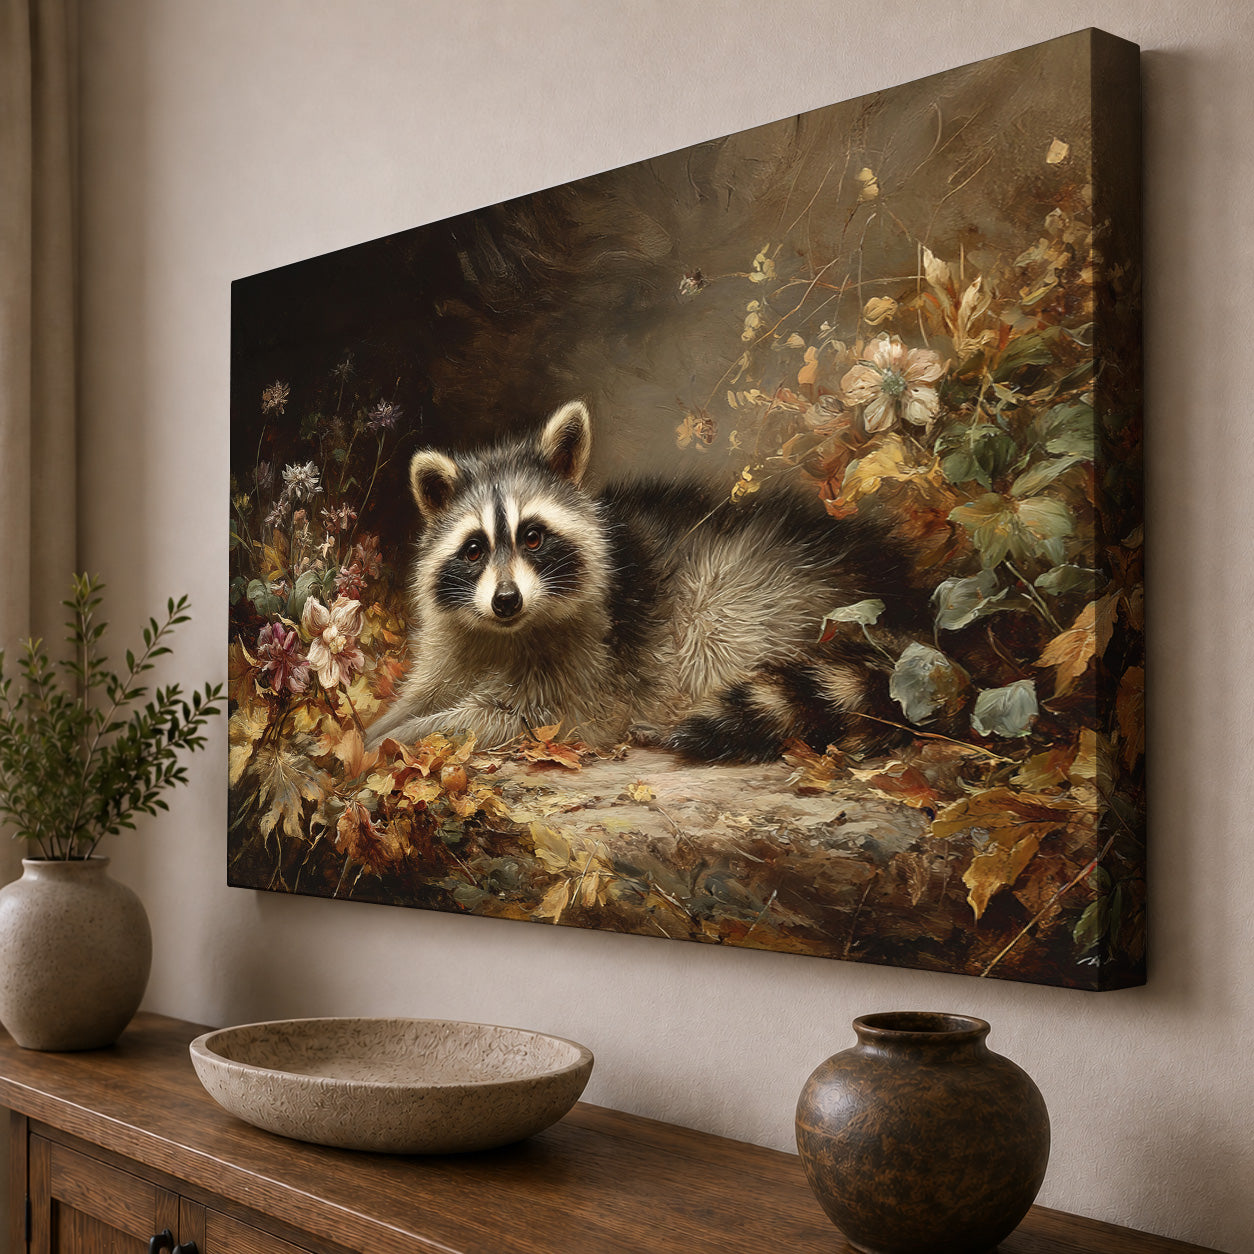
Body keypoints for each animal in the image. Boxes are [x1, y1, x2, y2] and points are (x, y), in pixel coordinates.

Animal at [364, 400, 918, 763]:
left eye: (534, 538)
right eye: (474, 548)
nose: (506, 601)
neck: (503, 633)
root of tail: (897, 594)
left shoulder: (586, 671)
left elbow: (507, 717)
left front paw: (399, 738)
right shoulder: (453, 644)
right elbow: (419, 695)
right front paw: (372, 729)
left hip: (750, 594)